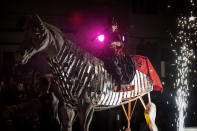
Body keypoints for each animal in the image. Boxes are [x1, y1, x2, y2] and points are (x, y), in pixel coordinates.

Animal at [15, 14, 162, 131]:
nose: (19, 55)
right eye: (25, 33)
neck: (73, 69)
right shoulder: (68, 108)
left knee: (151, 119)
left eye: (38, 34)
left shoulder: (87, 108)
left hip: (145, 96)